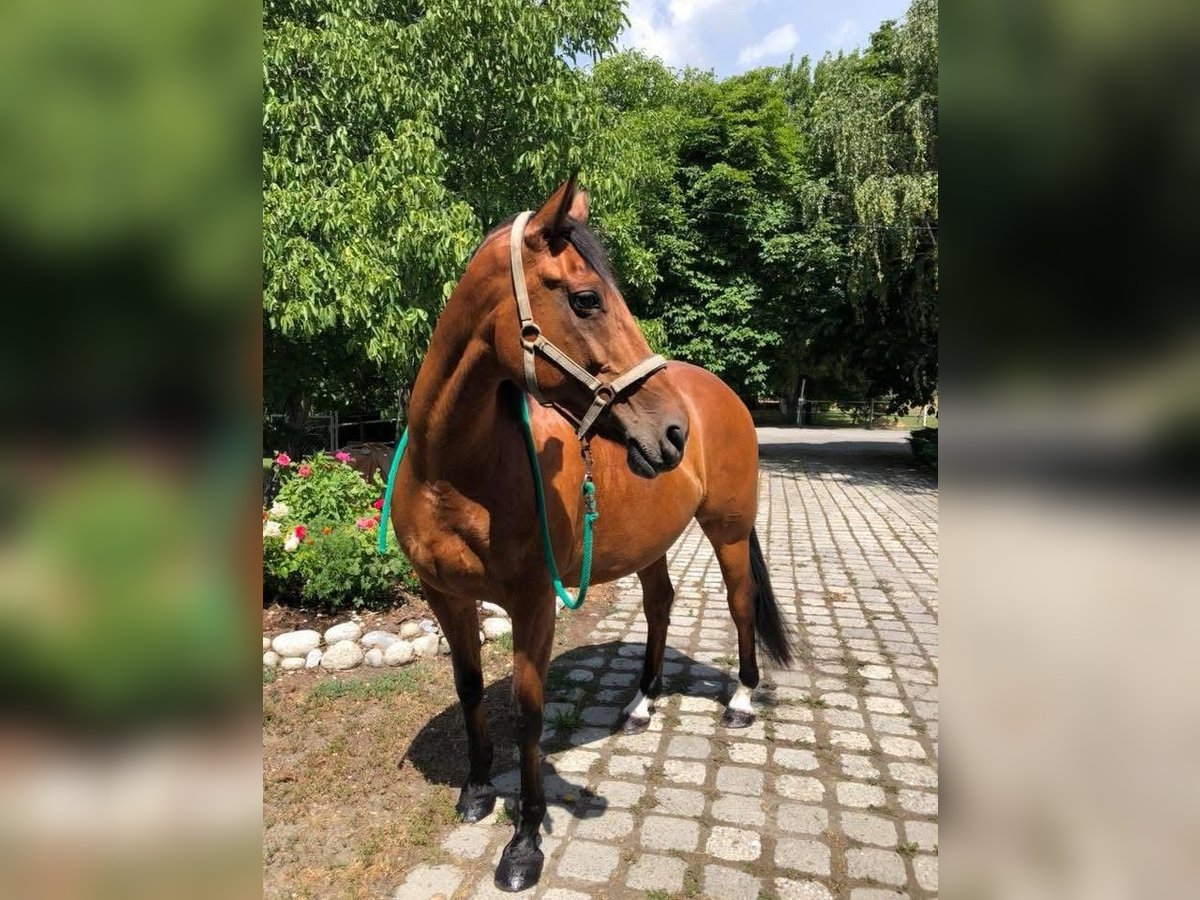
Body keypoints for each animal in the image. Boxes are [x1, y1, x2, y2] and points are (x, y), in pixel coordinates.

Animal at [391, 173, 794, 892]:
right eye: (586, 299)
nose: (671, 433)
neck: (454, 472)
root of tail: (720, 392)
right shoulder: (445, 596)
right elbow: (468, 687)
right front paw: (476, 790)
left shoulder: (533, 603)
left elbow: (528, 712)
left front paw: (523, 843)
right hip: (651, 541)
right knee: (661, 603)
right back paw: (641, 704)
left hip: (727, 531)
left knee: (740, 602)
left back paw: (742, 699)